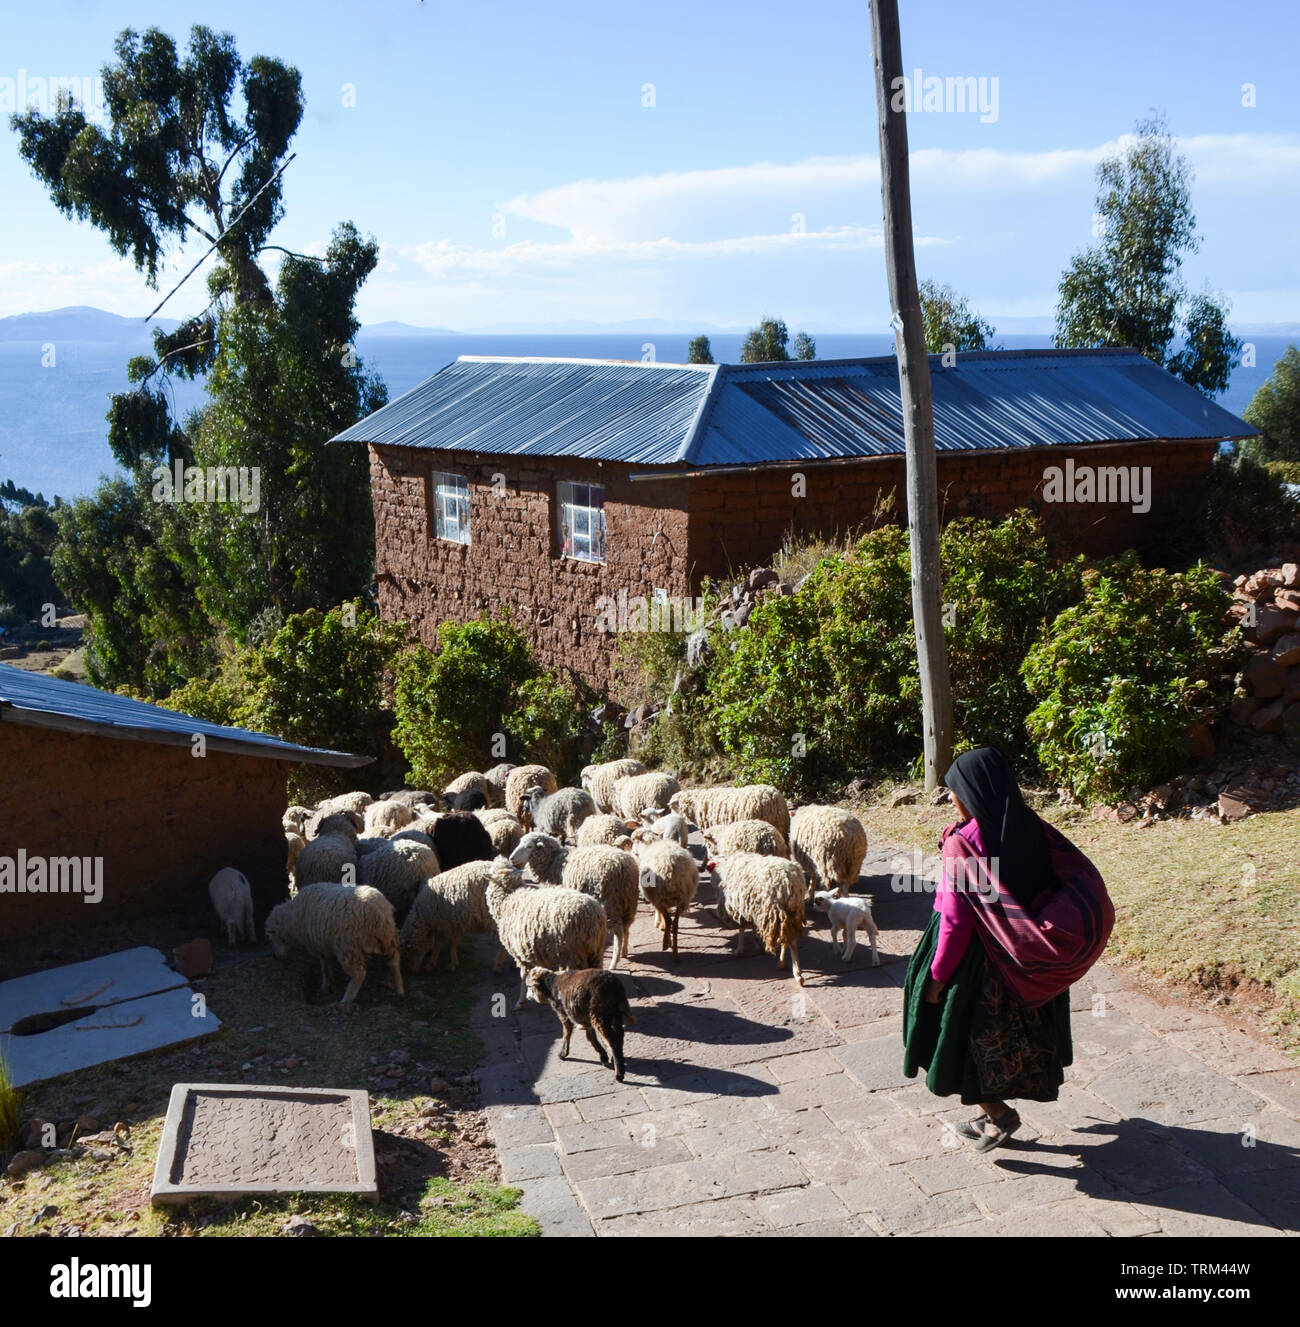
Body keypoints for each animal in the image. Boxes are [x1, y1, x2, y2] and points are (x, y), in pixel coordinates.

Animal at [265, 881, 403, 1003]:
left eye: (272, 938)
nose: (276, 956)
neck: (291, 919)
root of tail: (379, 912)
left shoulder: (316, 945)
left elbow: (323, 967)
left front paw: (324, 986)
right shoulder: (325, 944)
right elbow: (328, 963)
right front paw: (330, 982)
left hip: (349, 947)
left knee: (359, 974)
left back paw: (346, 1000)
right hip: (389, 939)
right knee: (394, 962)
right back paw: (400, 990)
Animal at [506, 833, 639, 971]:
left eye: (529, 846)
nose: (511, 858)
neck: (553, 862)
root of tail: (623, 865)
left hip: (610, 902)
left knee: (618, 931)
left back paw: (614, 962)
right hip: (628, 902)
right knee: (626, 927)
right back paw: (624, 951)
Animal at [705, 849, 806, 987]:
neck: (723, 867)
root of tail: (791, 882)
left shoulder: (739, 908)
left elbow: (741, 929)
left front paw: (739, 950)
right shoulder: (749, 908)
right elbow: (752, 927)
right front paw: (757, 944)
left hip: (774, 912)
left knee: (790, 941)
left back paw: (797, 973)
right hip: (790, 913)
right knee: (788, 939)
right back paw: (782, 964)